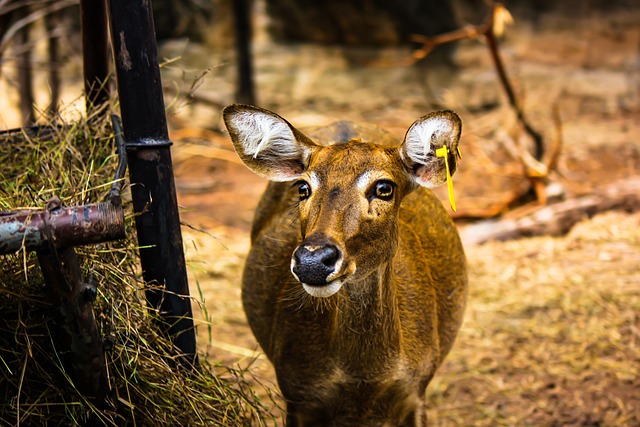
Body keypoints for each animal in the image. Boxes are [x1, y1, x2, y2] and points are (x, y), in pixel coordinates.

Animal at [222, 104, 468, 427]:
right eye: (303, 187)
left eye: (384, 187)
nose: (313, 260)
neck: (364, 377)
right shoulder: (295, 391)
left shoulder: (417, 391)